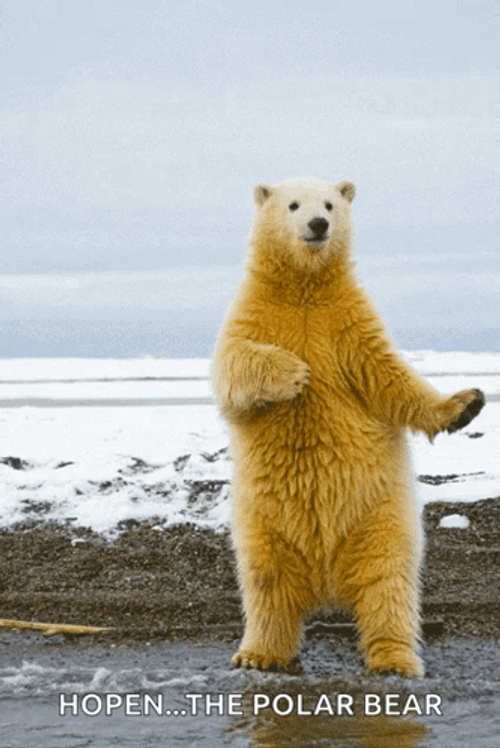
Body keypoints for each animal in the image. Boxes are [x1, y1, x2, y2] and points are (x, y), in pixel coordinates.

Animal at [211, 179, 485, 677]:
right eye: (293, 205)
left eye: (331, 203)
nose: (319, 224)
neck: (304, 288)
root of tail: (325, 582)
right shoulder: (254, 313)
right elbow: (234, 364)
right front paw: (294, 373)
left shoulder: (349, 324)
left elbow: (390, 376)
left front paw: (466, 403)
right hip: (263, 522)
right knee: (265, 581)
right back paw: (260, 653)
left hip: (379, 517)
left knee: (387, 582)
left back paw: (394, 659)